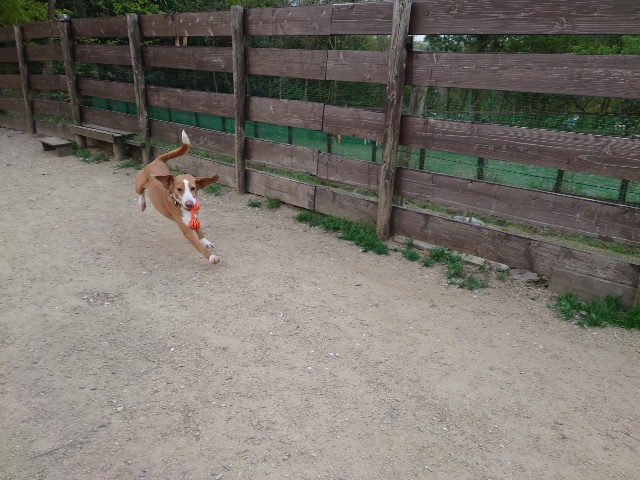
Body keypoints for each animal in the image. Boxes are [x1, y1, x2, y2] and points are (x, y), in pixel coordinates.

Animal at [135, 130, 221, 264]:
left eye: (193, 188)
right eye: (179, 189)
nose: (190, 204)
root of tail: (156, 160)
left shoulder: (195, 219)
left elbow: (200, 231)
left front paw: (205, 241)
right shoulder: (187, 232)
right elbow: (198, 245)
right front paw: (211, 256)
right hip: (139, 184)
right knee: (140, 192)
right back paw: (142, 203)